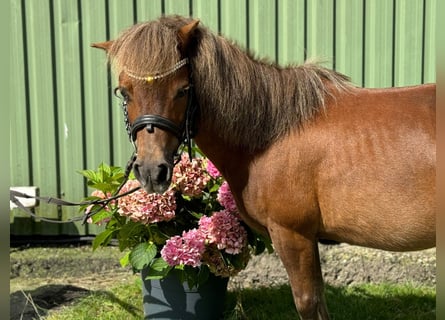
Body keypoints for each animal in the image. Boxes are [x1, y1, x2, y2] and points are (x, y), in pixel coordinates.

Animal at [92, 15, 436, 320]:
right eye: (124, 91)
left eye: (182, 90)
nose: (152, 171)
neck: (271, 133)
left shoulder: (292, 234)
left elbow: (308, 302)